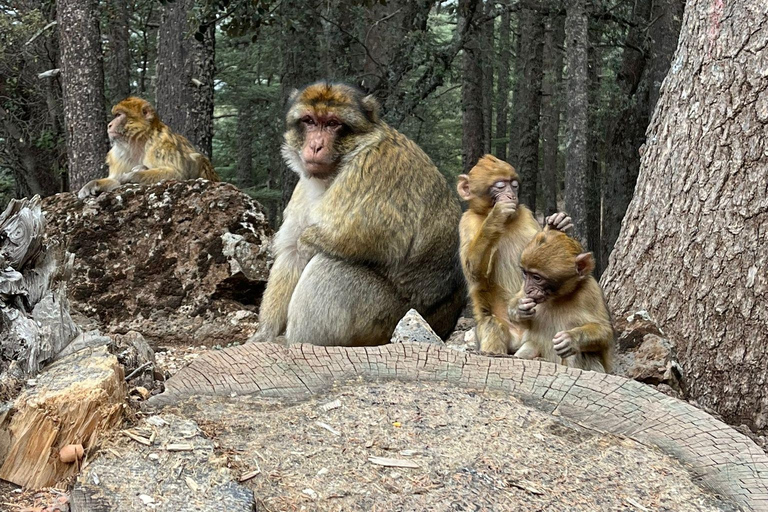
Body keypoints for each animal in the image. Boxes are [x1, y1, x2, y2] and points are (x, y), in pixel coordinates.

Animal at [78, 96, 219, 200]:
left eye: (118, 115)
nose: (109, 125)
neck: (138, 141)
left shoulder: (161, 143)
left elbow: (178, 173)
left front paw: (132, 176)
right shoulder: (117, 155)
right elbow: (114, 181)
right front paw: (93, 184)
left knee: (196, 157)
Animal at [250, 82, 462, 346]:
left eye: (332, 123)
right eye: (309, 121)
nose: (315, 146)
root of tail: (444, 324)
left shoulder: (372, 167)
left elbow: (367, 238)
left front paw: (309, 239)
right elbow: (291, 253)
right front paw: (264, 334)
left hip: (384, 317)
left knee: (329, 265)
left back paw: (299, 342)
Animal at [508, 228, 616, 372]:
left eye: (537, 278)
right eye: (526, 273)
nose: (528, 289)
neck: (558, 297)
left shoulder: (591, 291)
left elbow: (605, 332)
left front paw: (571, 338)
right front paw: (520, 308)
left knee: (579, 353)